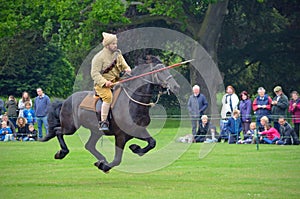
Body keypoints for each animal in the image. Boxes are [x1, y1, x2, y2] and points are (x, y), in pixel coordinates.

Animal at [41, 61, 179, 173]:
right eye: (160, 72)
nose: (176, 86)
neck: (132, 103)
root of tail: (65, 101)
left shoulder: (138, 130)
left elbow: (152, 142)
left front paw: (136, 148)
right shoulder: (121, 136)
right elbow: (117, 159)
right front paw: (105, 166)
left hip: (96, 131)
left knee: (89, 145)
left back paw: (101, 160)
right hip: (70, 127)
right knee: (58, 131)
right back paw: (62, 153)